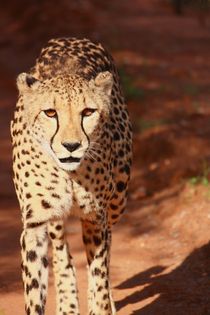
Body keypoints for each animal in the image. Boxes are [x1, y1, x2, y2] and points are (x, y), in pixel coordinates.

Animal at [11, 37, 131, 315]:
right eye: (50, 113)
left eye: (88, 112)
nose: (71, 145)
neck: (69, 174)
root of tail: (72, 38)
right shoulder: (35, 224)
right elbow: (34, 288)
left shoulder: (95, 217)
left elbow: (99, 274)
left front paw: (101, 304)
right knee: (60, 249)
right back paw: (67, 301)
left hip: (118, 198)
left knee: (107, 245)